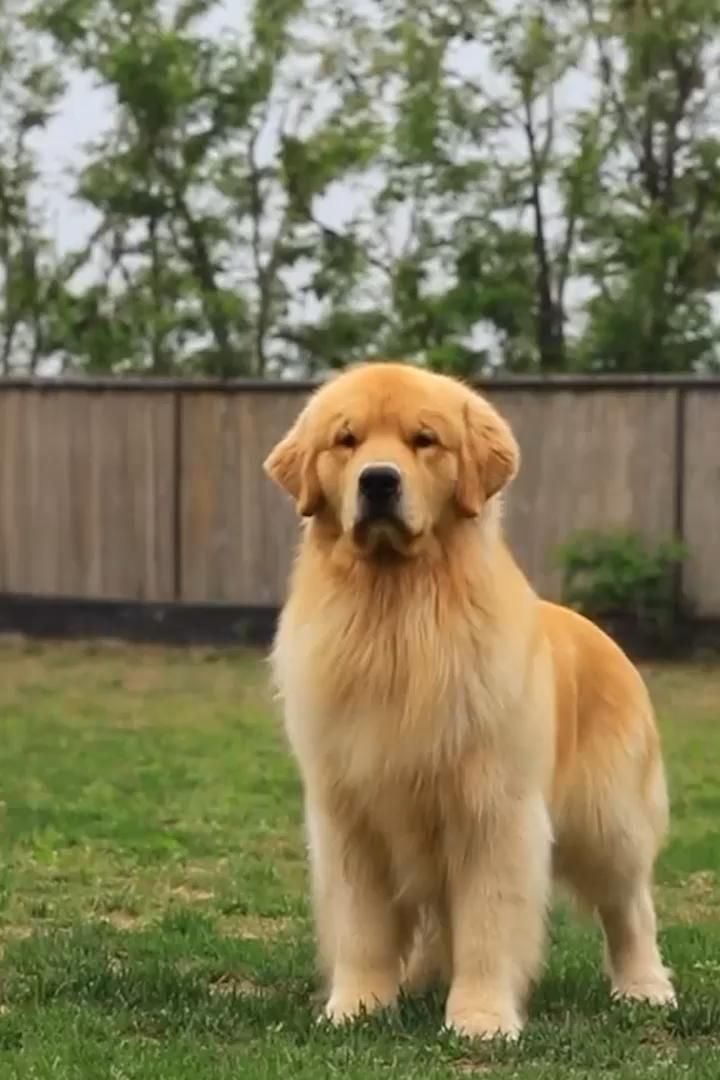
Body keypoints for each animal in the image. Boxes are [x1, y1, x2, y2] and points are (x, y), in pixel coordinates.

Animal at [264, 360, 677, 1036]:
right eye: (346, 441)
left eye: (424, 440)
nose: (379, 481)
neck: (397, 614)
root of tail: (605, 638)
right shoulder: (349, 813)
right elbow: (362, 925)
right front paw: (358, 1005)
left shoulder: (493, 810)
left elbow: (488, 921)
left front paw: (481, 1016)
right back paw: (422, 978)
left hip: (607, 821)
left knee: (630, 905)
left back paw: (644, 987)